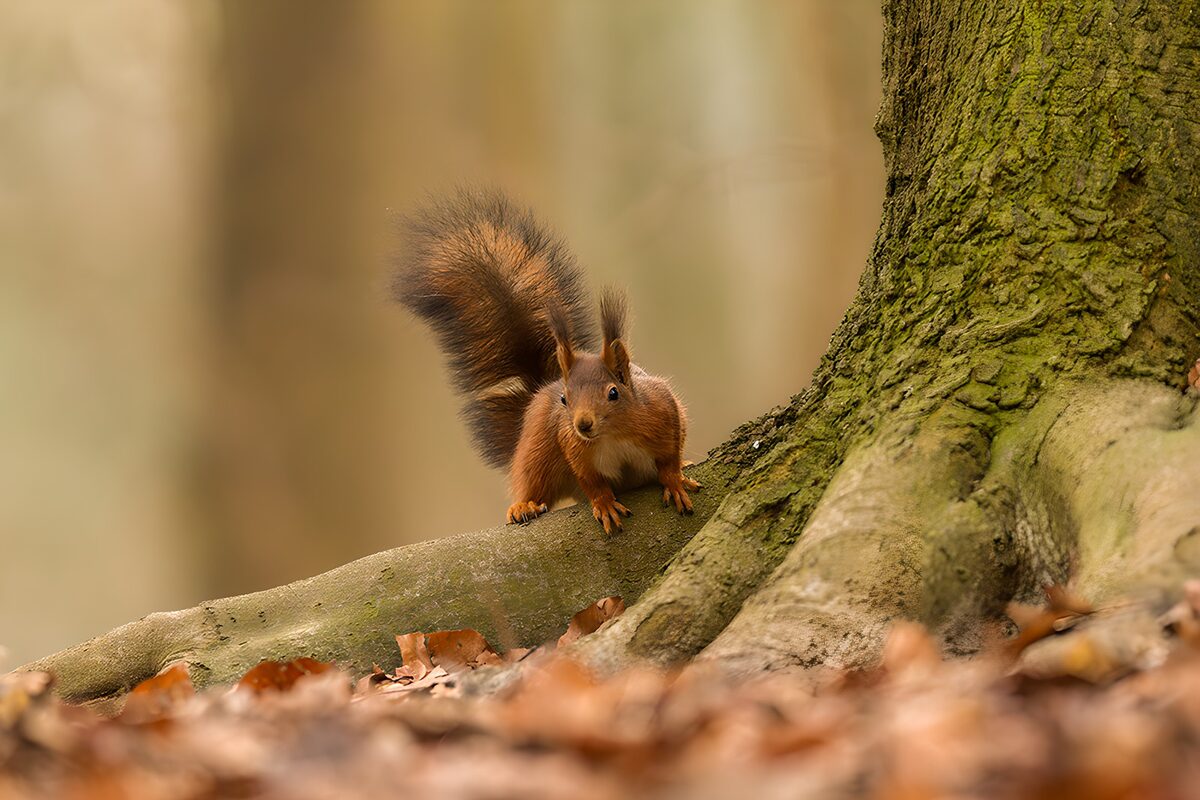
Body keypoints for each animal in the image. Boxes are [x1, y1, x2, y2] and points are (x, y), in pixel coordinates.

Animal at [394, 188, 698, 533]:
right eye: (564, 399)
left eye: (613, 393)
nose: (583, 424)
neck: (613, 434)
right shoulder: (572, 446)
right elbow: (592, 482)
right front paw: (604, 503)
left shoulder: (665, 412)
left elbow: (670, 458)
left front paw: (675, 480)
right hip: (537, 450)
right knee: (535, 482)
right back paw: (523, 505)